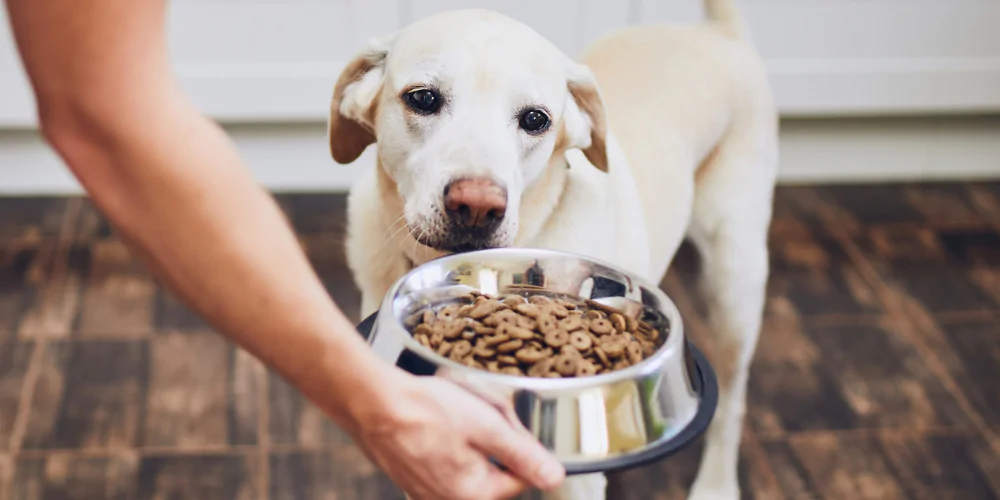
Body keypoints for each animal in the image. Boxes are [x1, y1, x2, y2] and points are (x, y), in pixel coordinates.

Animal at [332, 1, 776, 498]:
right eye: (423, 98)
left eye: (535, 119)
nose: (477, 206)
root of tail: (720, 33)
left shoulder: (574, 483)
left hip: (735, 283)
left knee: (733, 402)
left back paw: (716, 485)